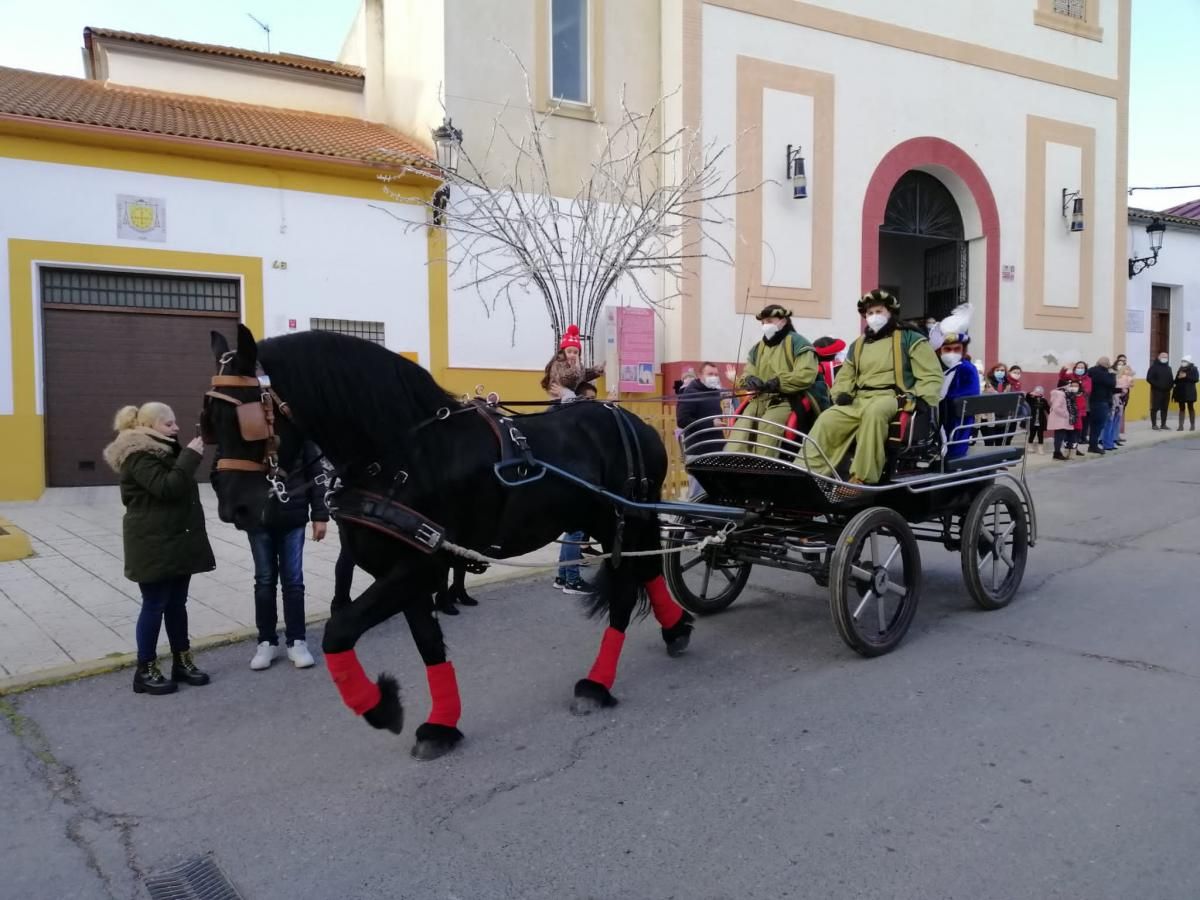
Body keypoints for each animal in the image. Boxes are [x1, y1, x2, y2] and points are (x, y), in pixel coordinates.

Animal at [205, 326, 696, 763]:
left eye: (247, 419)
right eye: (208, 419)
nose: (234, 508)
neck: (400, 457)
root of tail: (633, 421)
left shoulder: (419, 567)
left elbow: (338, 631)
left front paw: (381, 706)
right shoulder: (409, 568)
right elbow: (427, 643)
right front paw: (440, 724)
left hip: (623, 519)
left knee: (626, 591)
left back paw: (597, 683)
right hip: (611, 522)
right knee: (646, 571)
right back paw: (677, 628)